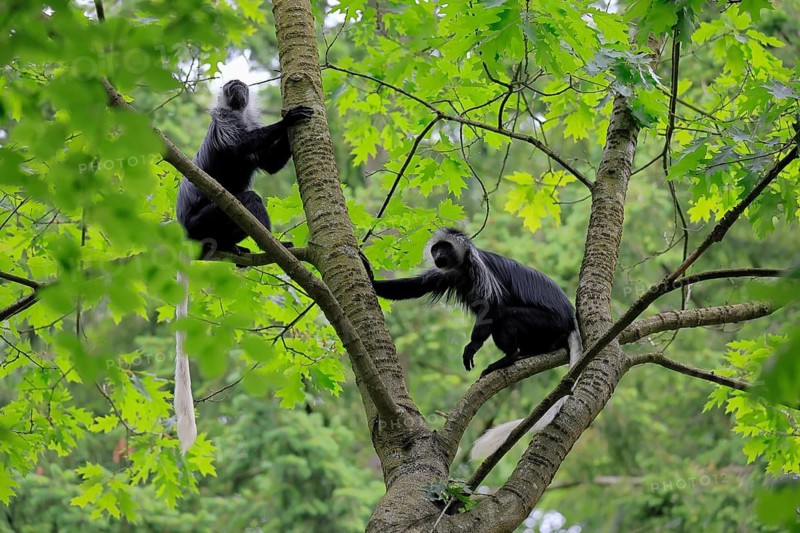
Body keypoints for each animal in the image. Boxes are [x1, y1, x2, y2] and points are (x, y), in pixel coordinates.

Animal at [173, 80, 312, 453]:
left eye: (241, 88)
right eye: (229, 88)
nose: (236, 86)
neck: (238, 111)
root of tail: (184, 233)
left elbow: (268, 162)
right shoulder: (224, 121)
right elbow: (240, 145)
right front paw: (289, 119)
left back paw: (235, 250)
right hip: (206, 220)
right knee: (248, 200)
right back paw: (276, 247)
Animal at [361, 228, 582, 459]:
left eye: (445, 247)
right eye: (435, 249)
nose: (438, 255)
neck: (462, 266)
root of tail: (569, 321)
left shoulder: (480, 271)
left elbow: (491, 305)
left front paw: (472, 347)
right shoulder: (446, 274)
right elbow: (415, 287)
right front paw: (370, 276)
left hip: (546, 322)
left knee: (505, 317)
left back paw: (508, 357)